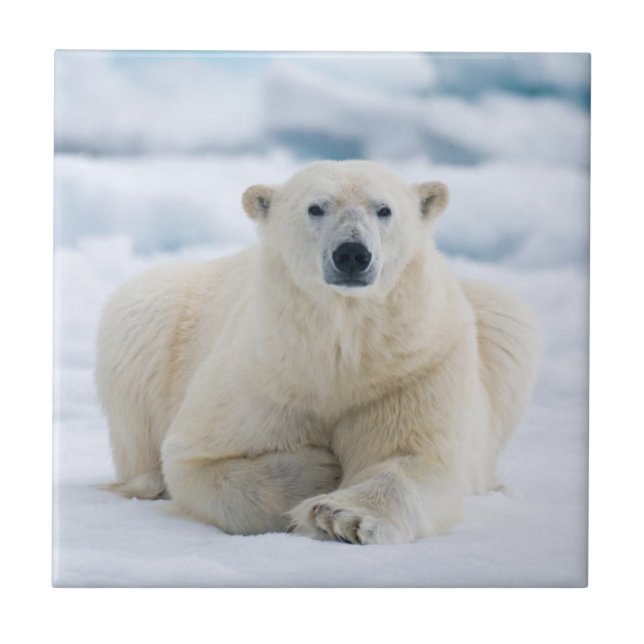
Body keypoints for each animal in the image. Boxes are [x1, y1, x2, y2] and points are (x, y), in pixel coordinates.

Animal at [95, 160, 541, 545]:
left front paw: (339, 516)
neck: (339, 351)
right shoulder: (263, 373)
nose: (352, 253)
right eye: (316, 207)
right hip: (156, 309)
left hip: (496, 320)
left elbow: (414, 458)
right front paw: (321, 470)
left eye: (384, 209)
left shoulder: (415, 368)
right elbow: (197, 460)